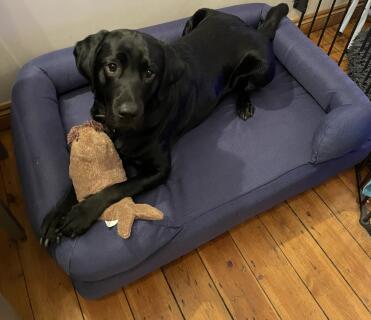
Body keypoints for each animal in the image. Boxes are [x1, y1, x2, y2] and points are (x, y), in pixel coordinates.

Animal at [41, 3, 290, 246]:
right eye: (111, 66)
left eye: (150, 72)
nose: (128, 112)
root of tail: (256, 31)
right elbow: (76, 180)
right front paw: (55, 216)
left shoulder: (160, 170)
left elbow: (119, 186)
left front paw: (80, 214)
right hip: (195, 19)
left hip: (261, 70)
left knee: (244, 85)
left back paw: (244, 104)